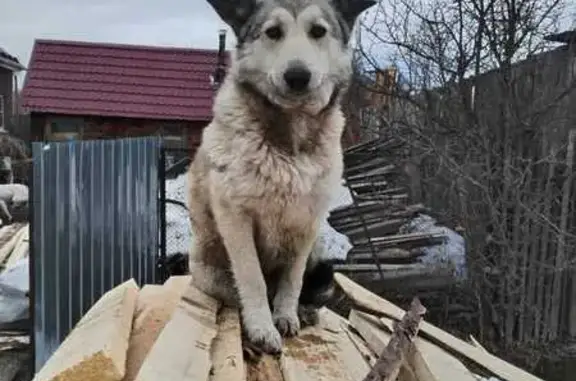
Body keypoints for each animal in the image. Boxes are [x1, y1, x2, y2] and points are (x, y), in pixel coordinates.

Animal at [188, 0, 378, 354]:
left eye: (318, 31)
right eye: (273, 32)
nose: (298, 76)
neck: (290, 134)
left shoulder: (308, 224)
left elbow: (293, 279)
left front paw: (286, 315)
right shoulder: (236, 218)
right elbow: (253, 280)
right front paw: (263, 328)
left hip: (317, 247)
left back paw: (303, 311)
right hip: (209, 270)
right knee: (235, 293)